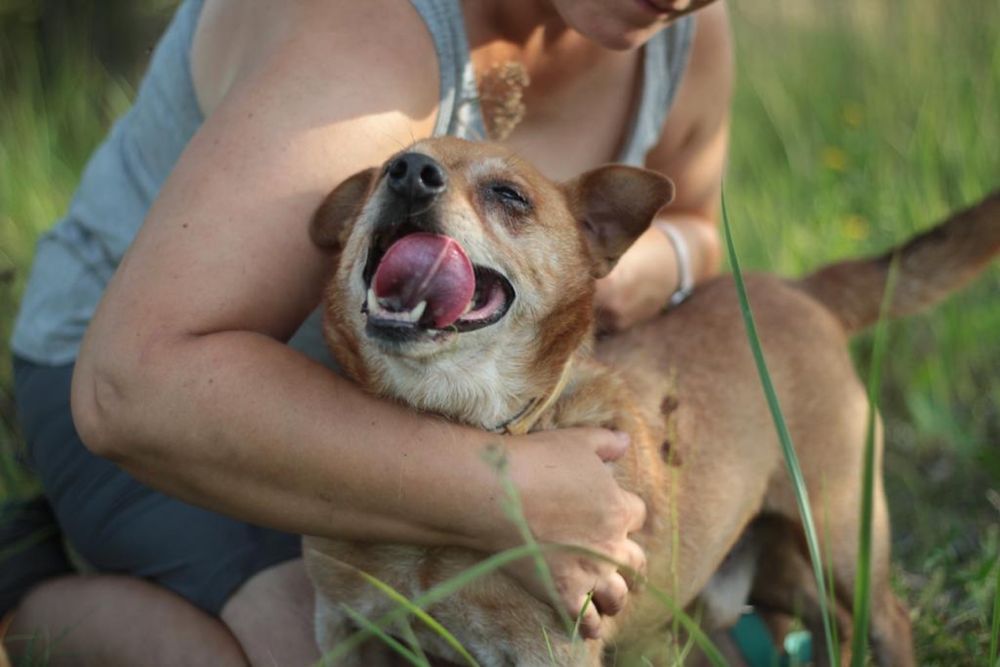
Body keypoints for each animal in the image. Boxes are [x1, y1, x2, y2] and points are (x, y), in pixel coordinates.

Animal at [304, 137, 1000, 667]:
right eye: (384, 172)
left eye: (508, 195)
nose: (409, 173)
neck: (454, 426)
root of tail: (802, 289)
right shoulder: (342, 633)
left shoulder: (550, 652)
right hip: (762, 575)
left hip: (840, 532)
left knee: (886, 618)